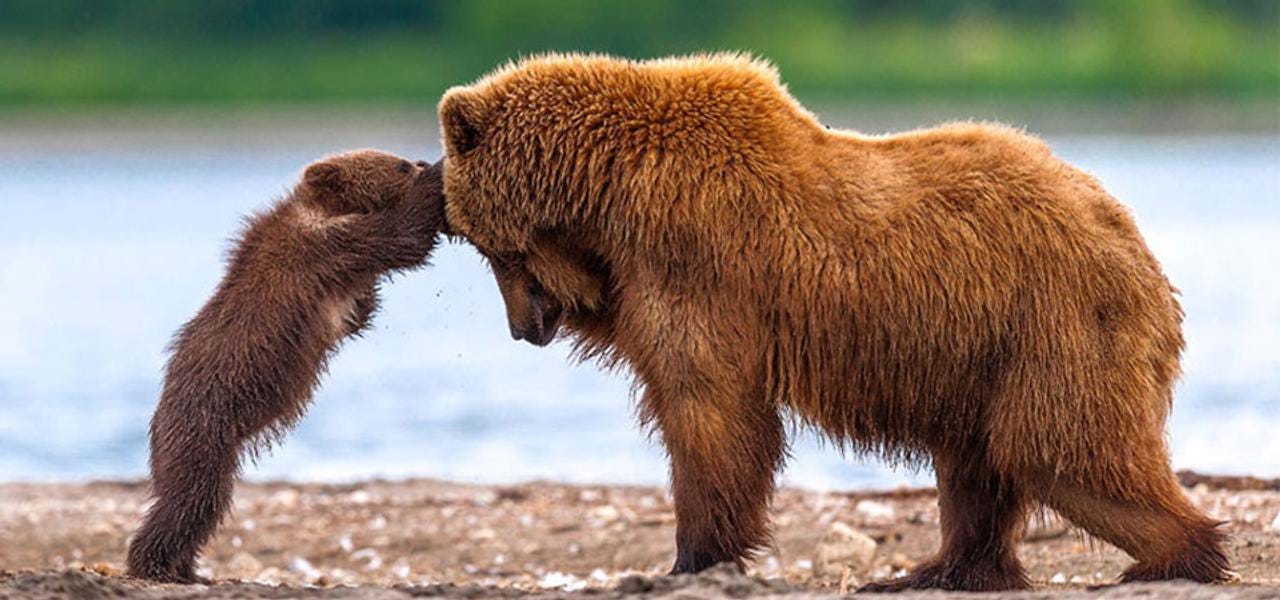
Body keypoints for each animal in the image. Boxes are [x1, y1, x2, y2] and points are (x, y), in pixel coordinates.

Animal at [437, 52, 1228, 588]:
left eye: (487, 246)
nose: (524, 327)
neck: (608, 187)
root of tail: (1138, 246)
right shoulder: (639, 271)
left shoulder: (694, 256)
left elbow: (708, 411)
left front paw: (692, 557)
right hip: (983, 353)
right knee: (979, 465)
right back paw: (934, 569)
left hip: (1056, 322)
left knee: (1061, 449)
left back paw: (1172, 555)